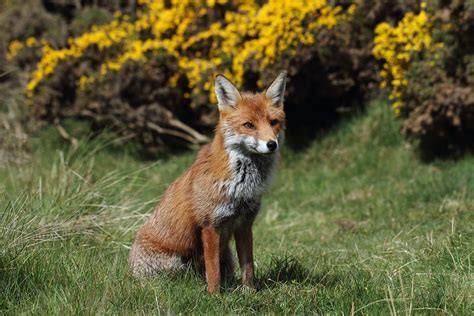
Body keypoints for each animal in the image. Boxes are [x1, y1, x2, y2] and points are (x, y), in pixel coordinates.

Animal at [128, 71, 286, 294]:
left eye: (273, 122)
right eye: (248, 125)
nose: (272, 144)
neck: (241, 186)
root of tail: (129, 269)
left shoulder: (244, 223)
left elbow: (248, 267)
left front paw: (249, 293)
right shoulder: (210, 225)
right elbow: (213, 271)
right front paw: (214, 295)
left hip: (226, 255)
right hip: (177, 263)